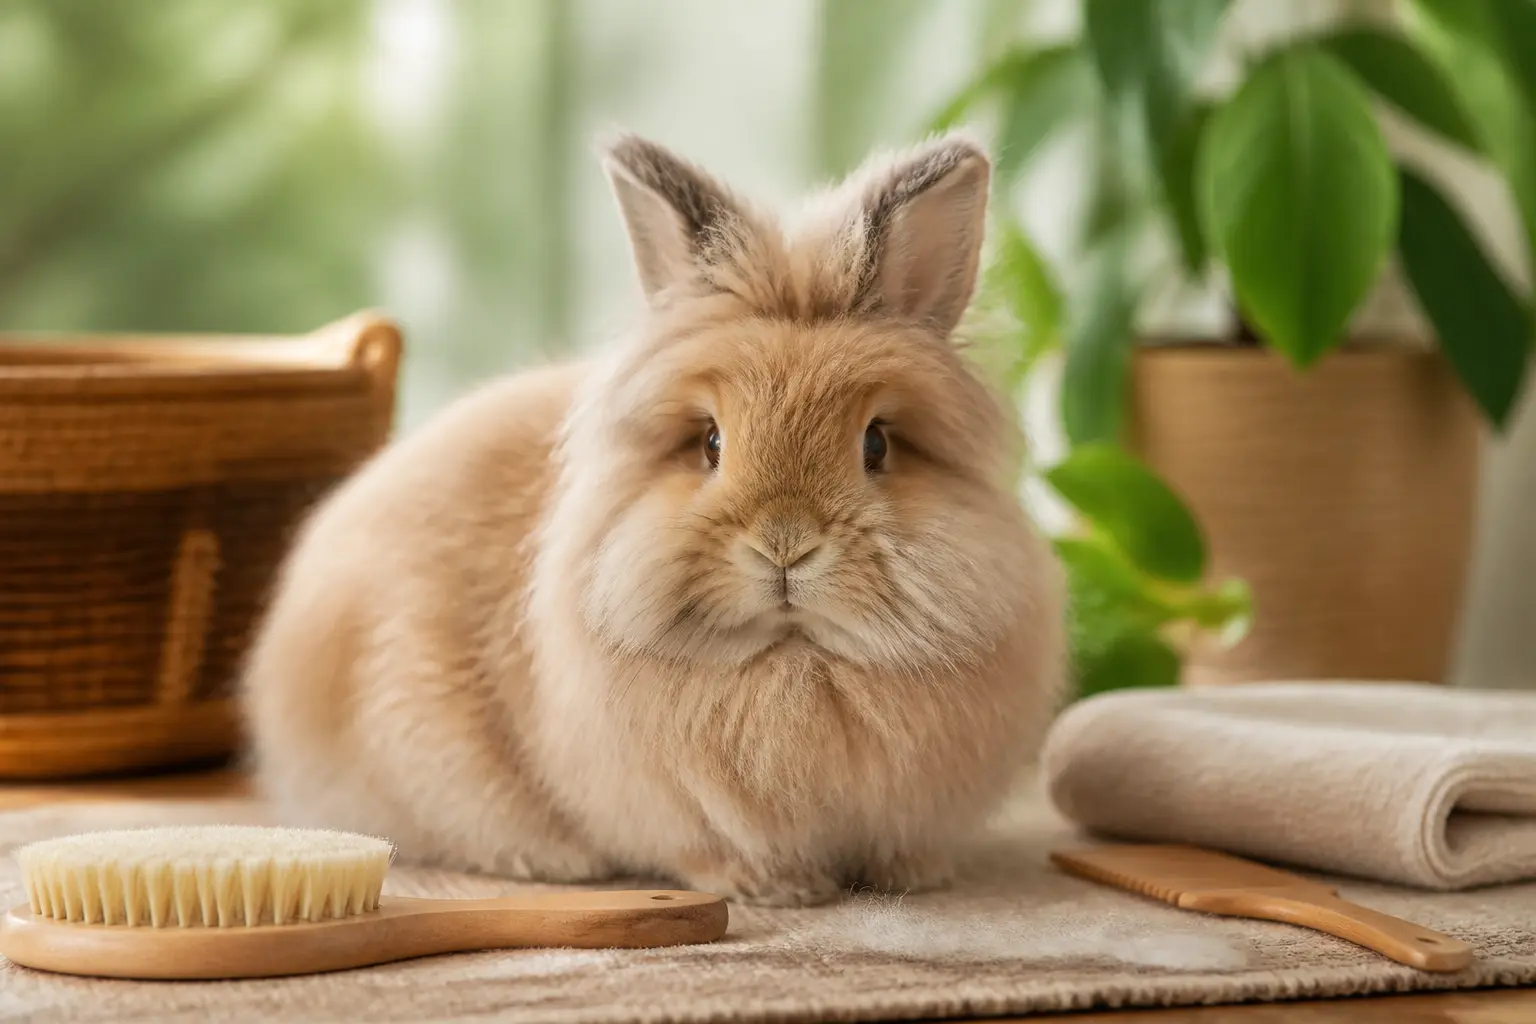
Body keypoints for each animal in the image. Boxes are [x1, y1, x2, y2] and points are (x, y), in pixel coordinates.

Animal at [240, 130, 1065, 907]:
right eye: (710, 442)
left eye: (877, 444)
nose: (786, 548)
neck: (797, 662)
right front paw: (777, 889)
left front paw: (917, 877)